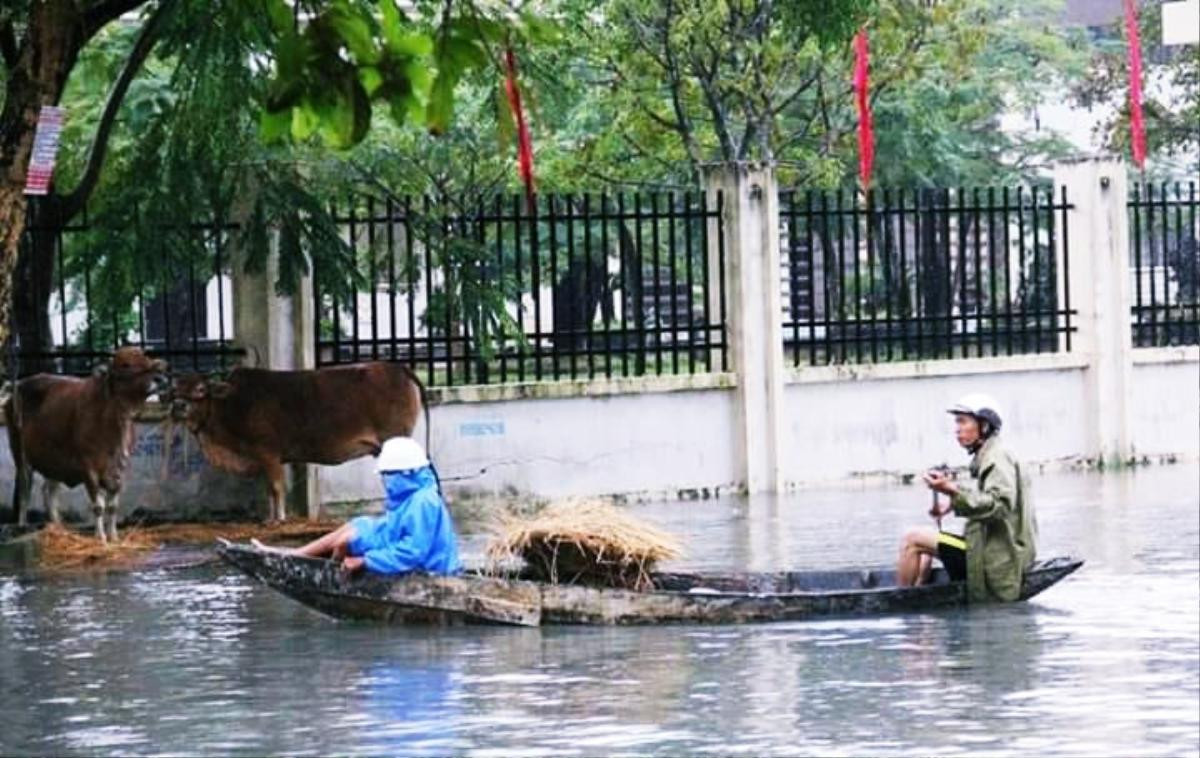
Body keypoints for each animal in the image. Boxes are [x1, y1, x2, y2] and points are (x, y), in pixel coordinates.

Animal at [3, 345, 169, 542]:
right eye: (125, 364)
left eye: (146, 358)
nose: (159, 378)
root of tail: (16, 388)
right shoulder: (89, 468)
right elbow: (98, 506)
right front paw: (101, 537)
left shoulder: (120, 468)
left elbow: (112, 506)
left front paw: (114, 537)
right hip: (20, 453)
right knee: (24, 490)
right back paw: (22, 526)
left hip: (54, 462)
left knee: (48, 491)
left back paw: (59, 526)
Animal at [171, 362, 427, 520]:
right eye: (175, 389)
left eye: (200, 389)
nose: (178, 406)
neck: (232, 403)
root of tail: (398, 367)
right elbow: (268, 489)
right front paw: (269, 518)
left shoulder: (268, 452)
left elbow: (276, 487)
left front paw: (280, 518)